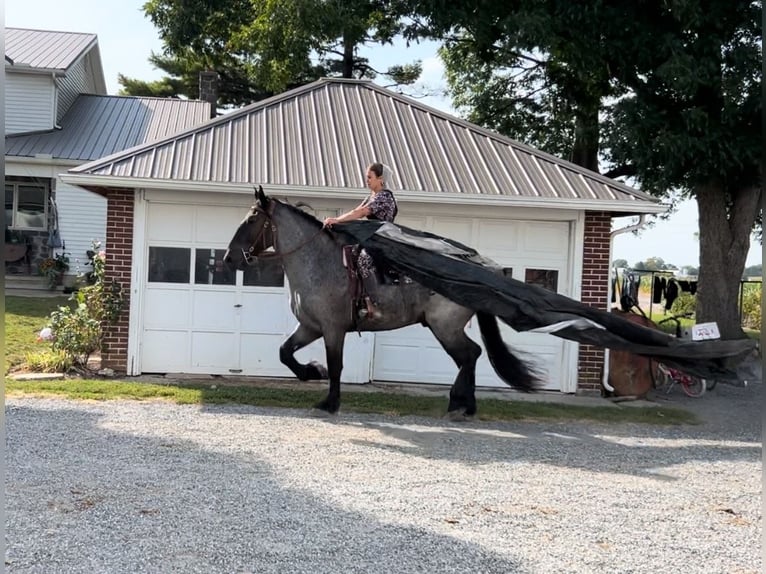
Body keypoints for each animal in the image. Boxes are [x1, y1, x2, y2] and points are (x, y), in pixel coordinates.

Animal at [224, 188, 540, 418]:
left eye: (251, 220)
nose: (229, 258)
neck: (318, 263)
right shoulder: (310, 327)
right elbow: (284, 353)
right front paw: (312, 371)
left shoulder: (332, 329)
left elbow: (336, 365)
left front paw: (329, 402)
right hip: (444, 328)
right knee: (469, 356)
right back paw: (465, 406)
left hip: (445, 327)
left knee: (470, 355)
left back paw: (458, 404)